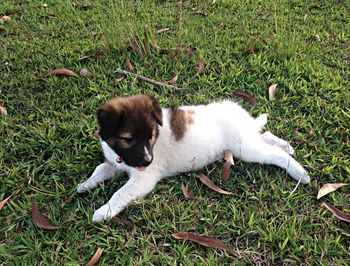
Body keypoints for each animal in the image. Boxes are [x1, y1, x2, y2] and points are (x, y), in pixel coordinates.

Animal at [78, 94, 310, 221]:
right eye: (128, 139)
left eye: (151, 136)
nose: (147, 161)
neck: (122, 158)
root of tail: (241, 115)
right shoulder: (113, 162)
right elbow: (100, 170)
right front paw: (85, 184)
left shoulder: (143, 179)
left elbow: (120, 193)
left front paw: (104, 211)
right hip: (246, 141)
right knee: (265, 135)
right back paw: (286, 146)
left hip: (244, 148)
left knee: (273, 154)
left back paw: (298, 171)